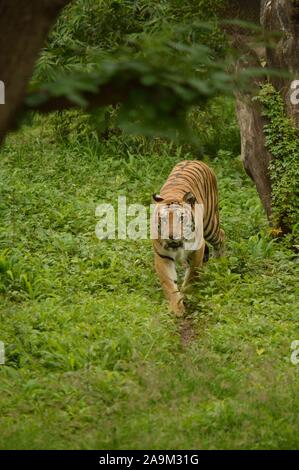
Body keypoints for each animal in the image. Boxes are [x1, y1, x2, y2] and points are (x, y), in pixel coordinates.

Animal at [152, 160, 225, 318]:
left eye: (181, 218)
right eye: (164, 220)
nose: (171, 236)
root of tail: (194, 160)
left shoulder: (197, 249)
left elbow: (193, 275)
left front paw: (186, 294)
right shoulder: (162, 256)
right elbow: (169, 284)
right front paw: (177, 308)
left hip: (210, 224)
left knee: (221, 235)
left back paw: (220, 262)